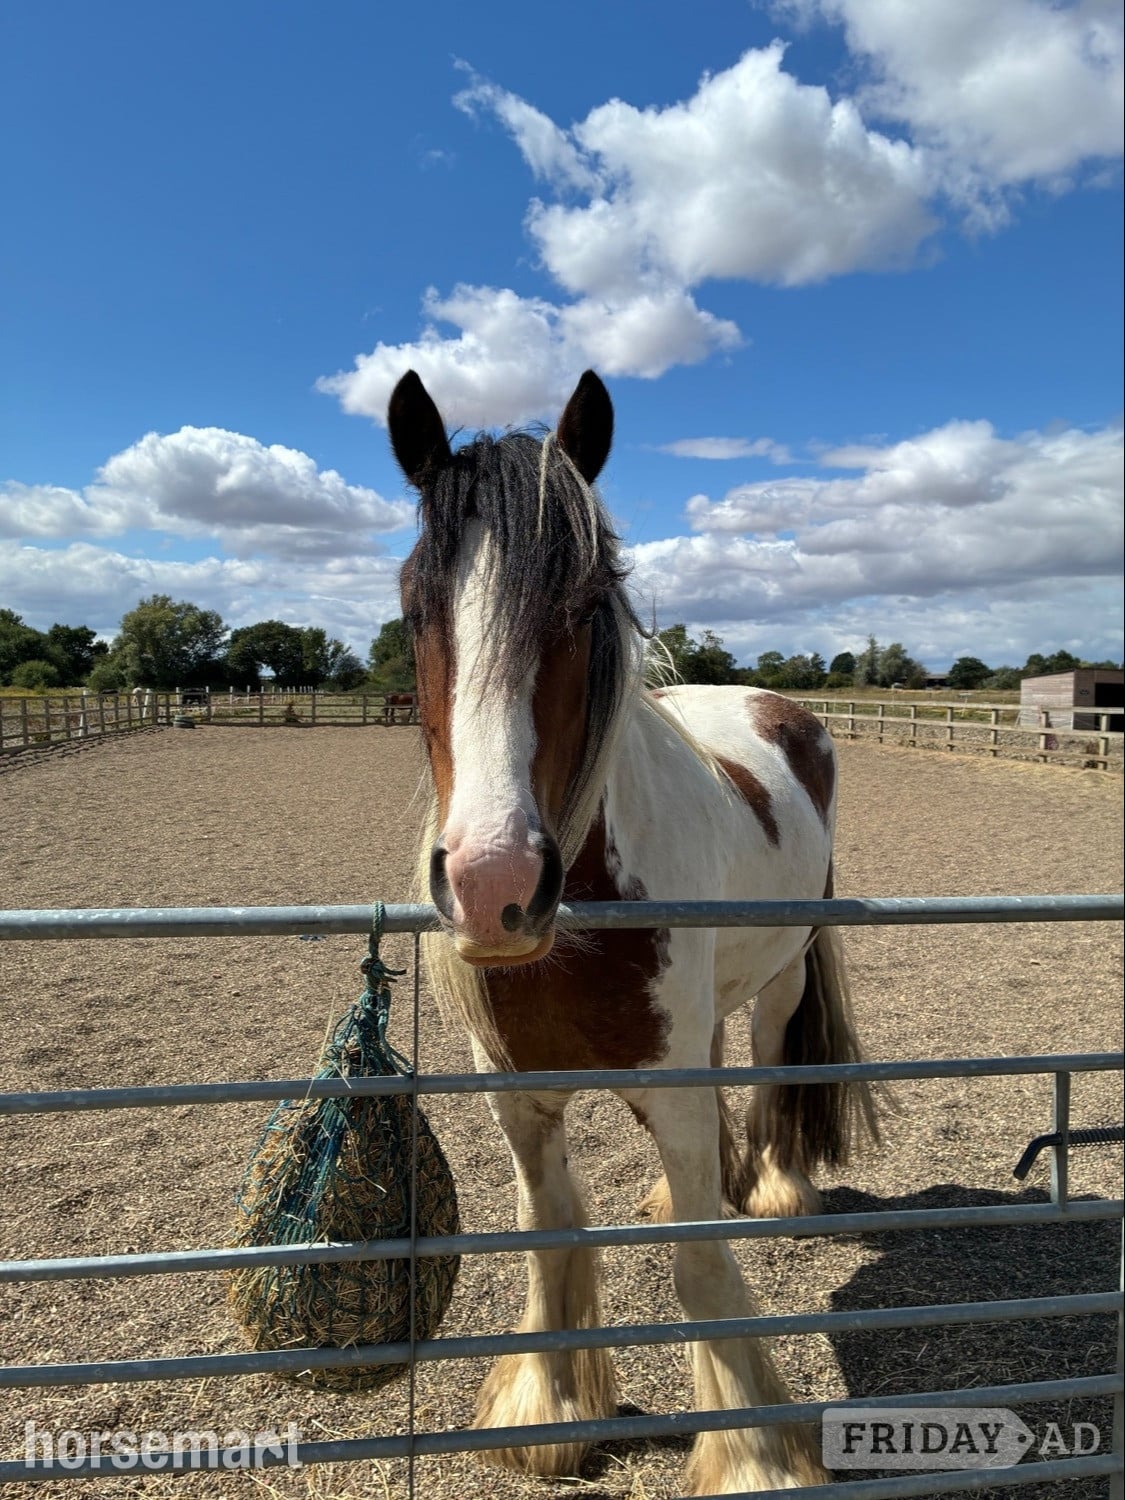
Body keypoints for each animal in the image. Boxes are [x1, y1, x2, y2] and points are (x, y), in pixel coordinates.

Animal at [387, 368, 879, 1494]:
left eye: (580, 603)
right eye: (415, 606)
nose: (492, 883)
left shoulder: (673, 1071)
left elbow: (701, 1263)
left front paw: (753, 1452)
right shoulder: (515, 1095)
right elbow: (549, 1232)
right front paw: (550, 1408)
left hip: (783, 980)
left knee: (771, 1070)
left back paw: (774, 1188)